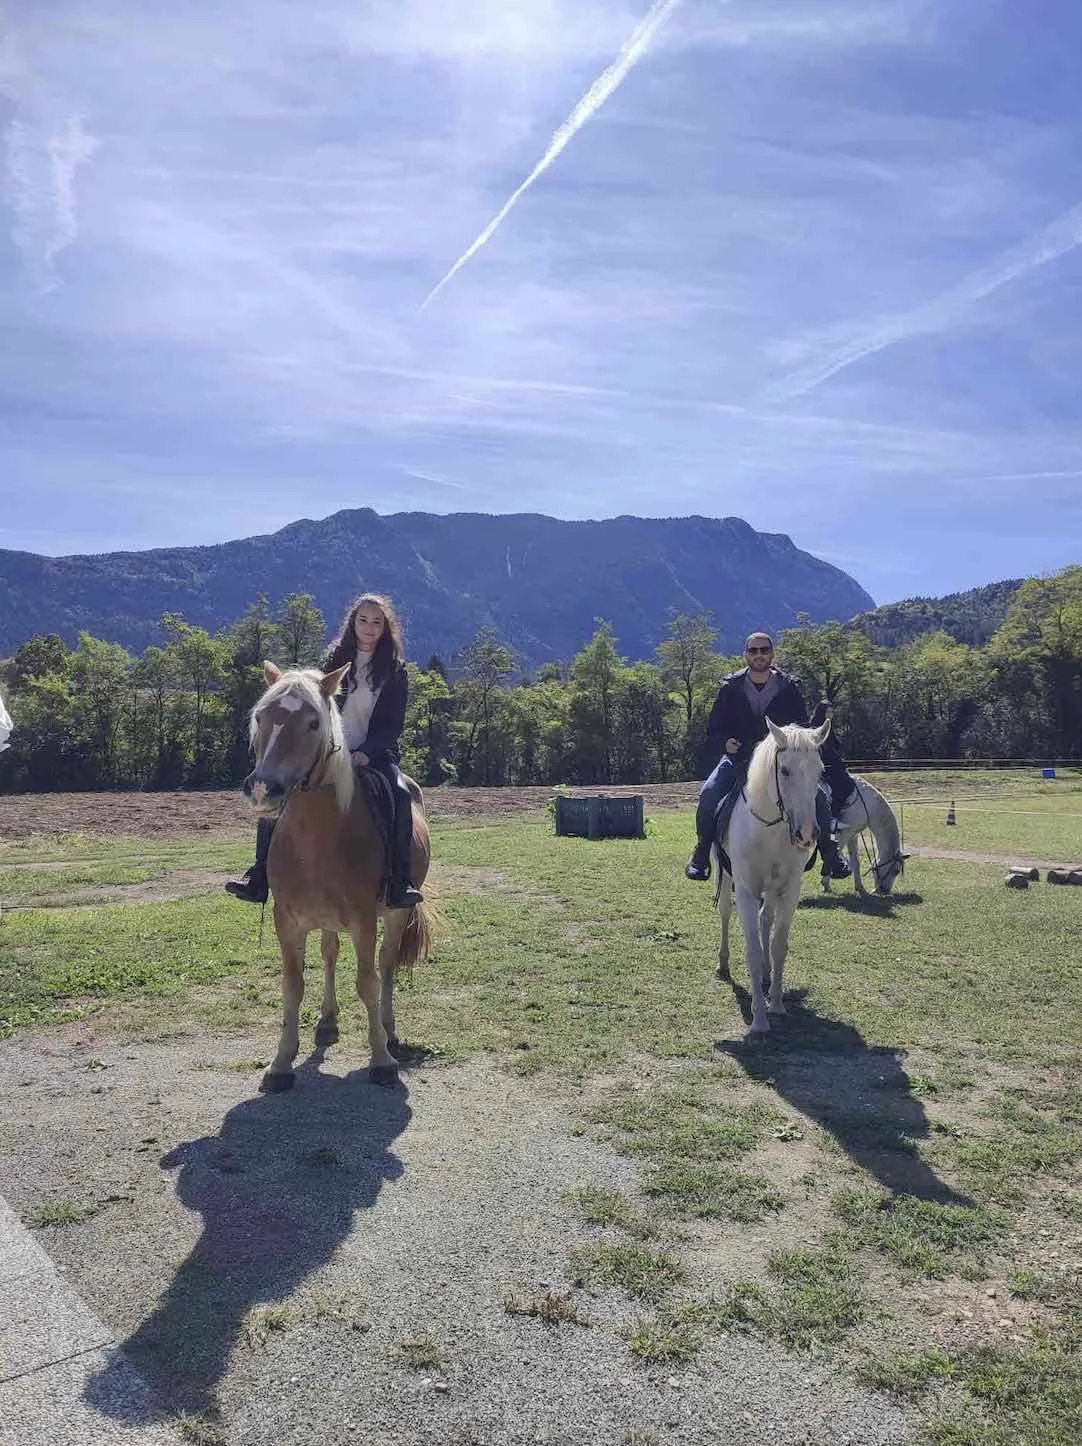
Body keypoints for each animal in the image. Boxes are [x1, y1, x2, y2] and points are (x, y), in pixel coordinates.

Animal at [243, 661, 433, 1092]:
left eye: (314, 722)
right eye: (261, 717)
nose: (263, 789)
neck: (319, 838)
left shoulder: (364, 921)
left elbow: (367, 981)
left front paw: (381, 1059)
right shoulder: (287, 920)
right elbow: (293, 985)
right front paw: (280, 1062)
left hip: (395, 912)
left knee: (387, 963)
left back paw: (389, 1030)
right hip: (327, 918)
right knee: (329, 954)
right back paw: (328, 1021)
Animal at [716, 716, 832, 1036]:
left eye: (820, 770)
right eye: (784, 770)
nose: (807, 834)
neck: (769, 830)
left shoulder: (789, 889)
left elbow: (779, 945)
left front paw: (776, 1004)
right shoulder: (746, 890)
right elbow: (753, 951)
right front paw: (759, 1020)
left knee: (766, 918)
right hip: (725, 877)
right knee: (725, 913)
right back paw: (723, 964)